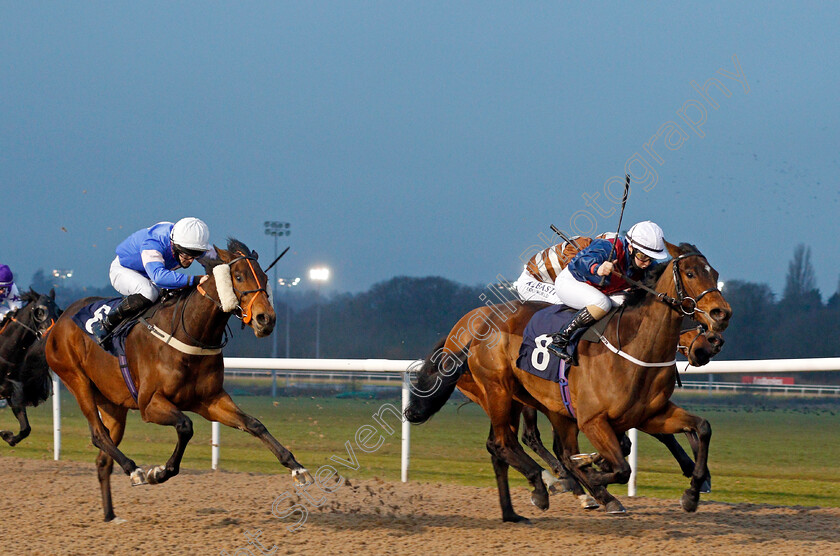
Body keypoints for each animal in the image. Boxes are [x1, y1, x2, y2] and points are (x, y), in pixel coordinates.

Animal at [0, 288, 61, 446]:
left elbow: (26, 428)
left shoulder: (13, 393)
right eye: (39, 312)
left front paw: (7, 435)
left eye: (58, 310)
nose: (52, 334)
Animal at [46, 239, 316, 520]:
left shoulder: (211, 400)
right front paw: (159, 472)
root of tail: (59, 320)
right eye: (239, 276)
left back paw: (111, 515)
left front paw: (297, 468)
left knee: (103, 458)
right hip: (77, 380)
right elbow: (186, 426)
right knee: (98, 434)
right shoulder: (149, 404)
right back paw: (134, 470)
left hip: (113, 405)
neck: (190, 335)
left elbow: (254, 424)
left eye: (264, 278)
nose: (267, 319)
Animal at [406, 242, 728, 520]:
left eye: (715, 274)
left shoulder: (649, 413)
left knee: (510, 446)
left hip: (522, 400)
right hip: (498, 392)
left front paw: (694, 489)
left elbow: (701, 428)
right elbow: (620, 466)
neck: (633, 347)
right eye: (690, 273)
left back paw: (535, 502)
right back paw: (548, 484)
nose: (720, 318)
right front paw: (590, 473)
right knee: (506, 443)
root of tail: (464, 330)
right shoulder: (593, 420)